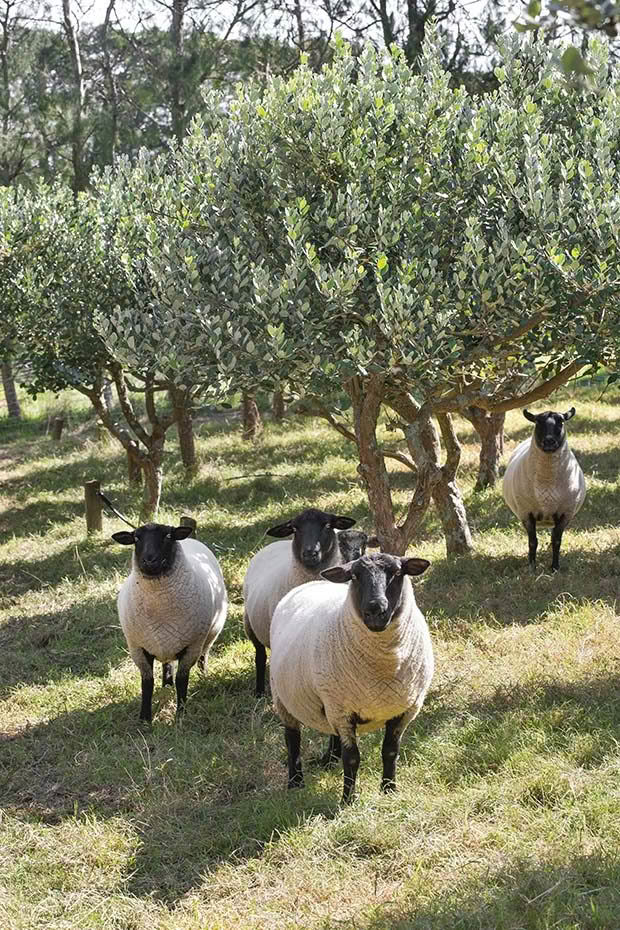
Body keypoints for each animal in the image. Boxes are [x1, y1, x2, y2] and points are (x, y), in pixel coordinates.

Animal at [112, 520, 228, 716]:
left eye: (167, 536)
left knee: (203, 657)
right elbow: (147, 684)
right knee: (167, 664)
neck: (160, 611)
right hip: (166, 643)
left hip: (208, 637)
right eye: (136, 538)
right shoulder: (138, 649)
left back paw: (202, 677)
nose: (149, 560)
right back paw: (166, 685)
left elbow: (182, 680)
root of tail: (190, 539)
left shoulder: (191, 647)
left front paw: (181, 712)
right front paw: (144, 717)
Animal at [243, 508, 356, 696]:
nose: (310, 553)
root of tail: (273, 545)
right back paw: (259, 691)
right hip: (250, 624)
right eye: (295, 529)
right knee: (260, 656)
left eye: (327, 525)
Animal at [268, 548, 434, 800]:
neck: (385, 666)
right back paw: (295, 782)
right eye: (355, 576)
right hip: (283, 697)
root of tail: (312, 583)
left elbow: (390, 751)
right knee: (292, 738)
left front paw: (389, 790)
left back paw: (329, 760)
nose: (375, 610)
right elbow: (352, 758)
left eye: (397, 573)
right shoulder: (342, 711)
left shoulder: (404, 709)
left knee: (329, 731)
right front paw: (348, 799)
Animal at [504, 408, 588, 568]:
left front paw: (555, 567)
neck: (547, 482)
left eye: (561, 422)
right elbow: (533, 542)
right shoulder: (526, 513)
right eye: (538, 422)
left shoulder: (565, 514)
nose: (549, 441)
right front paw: (532, 566)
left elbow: (556, 541)